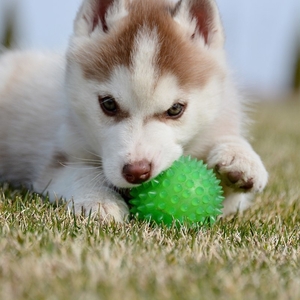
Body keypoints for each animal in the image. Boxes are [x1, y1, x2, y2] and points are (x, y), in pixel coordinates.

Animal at [0, 0, 268, 220]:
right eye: (108, 104)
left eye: (175, 109)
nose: (137, 172)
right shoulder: (57, 161)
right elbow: (80, 173)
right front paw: (101, 200)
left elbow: (228, 195)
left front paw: (240, 160)